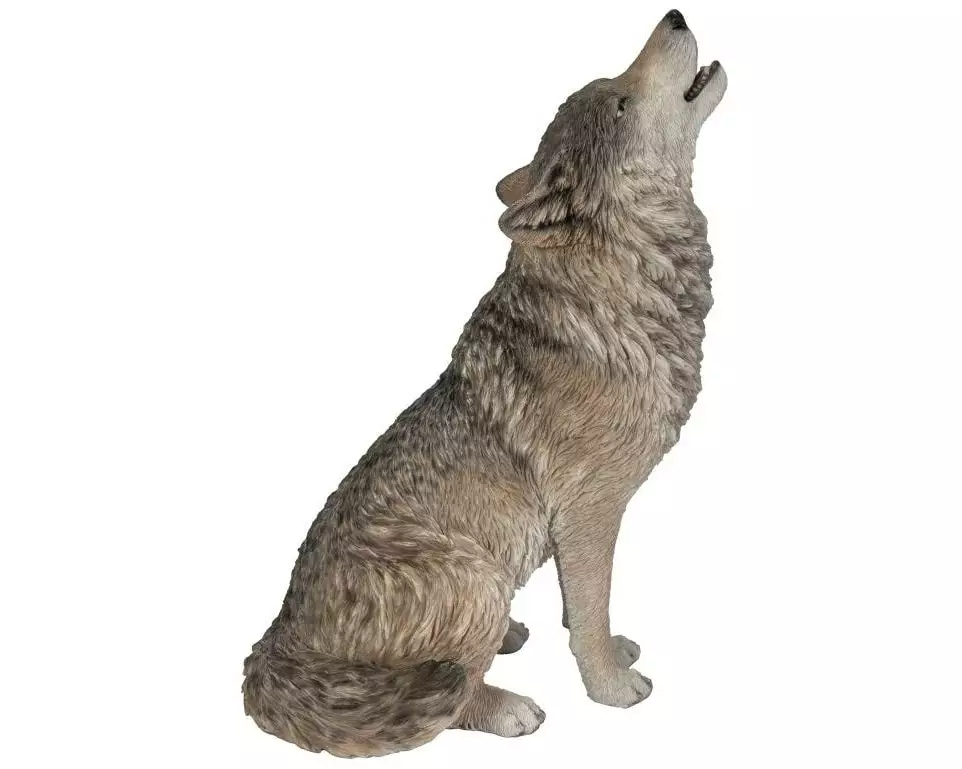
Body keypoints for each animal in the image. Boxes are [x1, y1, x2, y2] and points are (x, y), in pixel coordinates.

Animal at [242, 9, 726, 758]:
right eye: (619, 100)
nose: (673, 16)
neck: (621, 283)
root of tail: (274, 645)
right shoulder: (590, 510)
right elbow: (591, 611)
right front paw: (612, 688)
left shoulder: (570, 528)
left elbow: (580, 606)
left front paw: (611, 651)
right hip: (476, 573)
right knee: (448, 698)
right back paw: (506, 707)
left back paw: (508, 637)